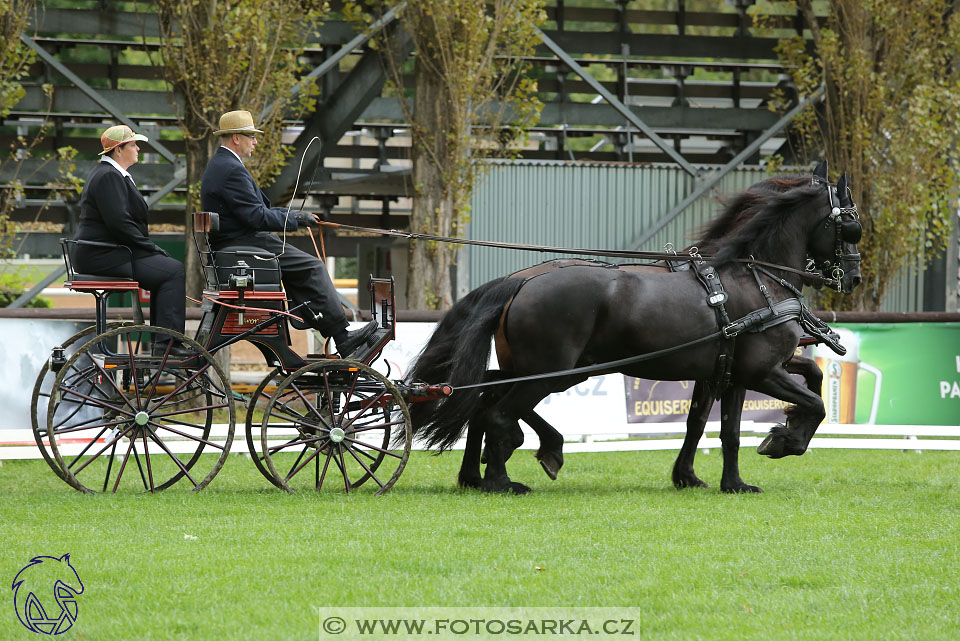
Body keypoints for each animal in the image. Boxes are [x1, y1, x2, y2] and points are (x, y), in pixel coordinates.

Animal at [408, 169, 860, 490]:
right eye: (852, 224)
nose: (853, 277)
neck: (757, 278)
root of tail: (522, 282)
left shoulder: (728, 373)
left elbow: (720, 426)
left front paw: (707, 479)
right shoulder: (760, 372)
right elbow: (814, 404)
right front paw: (786, 441)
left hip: (533, 369)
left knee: (483, 397)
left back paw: (479, 475)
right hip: (553, 371)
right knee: (498, 412)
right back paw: (504, 479)